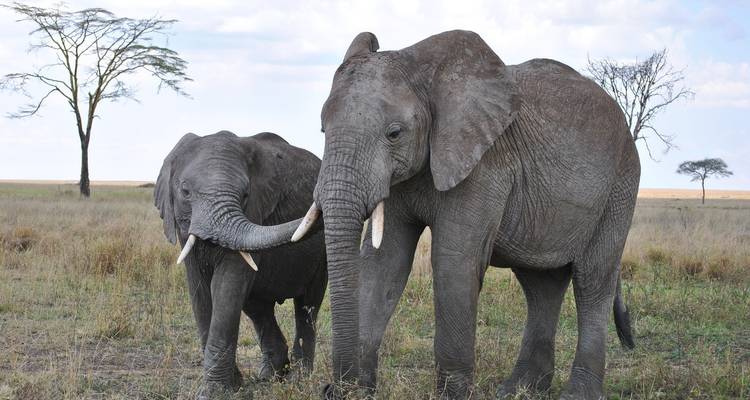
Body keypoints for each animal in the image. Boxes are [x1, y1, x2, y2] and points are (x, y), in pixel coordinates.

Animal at [154, 131, 327, 398]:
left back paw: (299, 379)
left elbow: (226, 285)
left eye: (245, 195)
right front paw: (232, 386)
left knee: (307, 305)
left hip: (322, 255)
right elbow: (200, 292)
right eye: (185, 191)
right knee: (258, 307)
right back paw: (269, 376)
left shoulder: (254, 210)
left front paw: (215, 392)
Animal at [264, 30, 640, 399]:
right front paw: (358, 392)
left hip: (620, 184)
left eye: (394, 133)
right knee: (540, 285)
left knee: (592, 280)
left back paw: (577, 394)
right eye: (323, 131)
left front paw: (450, 395)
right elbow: (384, 263)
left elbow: (453, 262)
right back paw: (518, 390)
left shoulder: (484, 164)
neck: (424, 72)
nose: (333, 388)